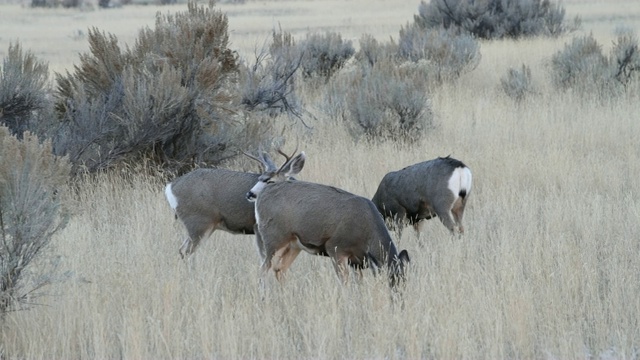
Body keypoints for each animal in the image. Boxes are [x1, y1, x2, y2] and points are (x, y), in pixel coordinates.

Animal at [168, 150, 302, 258]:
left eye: (271, 181)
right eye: (261, 179)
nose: (250, 194)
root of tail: (171, 187)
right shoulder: (258, 227)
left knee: (182, 250)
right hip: (198, 222)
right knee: (187, 251)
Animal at [245, 150, 410, 288]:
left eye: (404, 282)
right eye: (388, 282)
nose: (398, 300)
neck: (366, 230)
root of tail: (262, 196)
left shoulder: (357, 261)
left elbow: (359, 284)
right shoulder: (335, 248)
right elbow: (344, 283)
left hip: (293, 244)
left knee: (280, 268)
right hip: (274, 238)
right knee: (263, 269)